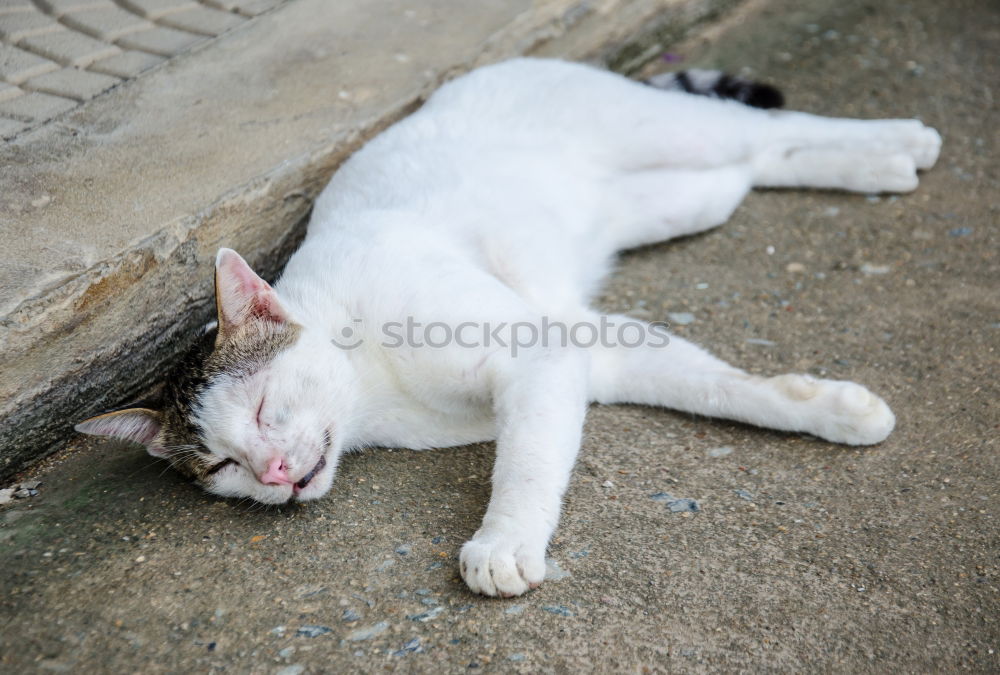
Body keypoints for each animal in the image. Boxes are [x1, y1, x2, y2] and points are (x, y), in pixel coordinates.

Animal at [76, 56, 936, 596]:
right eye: (222, 466)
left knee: (762, 125)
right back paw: (877, 168)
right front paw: (834, 410)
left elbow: (523, 465)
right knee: (758, 163)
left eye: (262, 410)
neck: (372, 388)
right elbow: (723, 387)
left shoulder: (541, 351)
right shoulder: (592, 346)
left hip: (674, 133)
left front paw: (504, 542)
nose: (276, 474)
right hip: (687, 201)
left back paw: (899, 136)